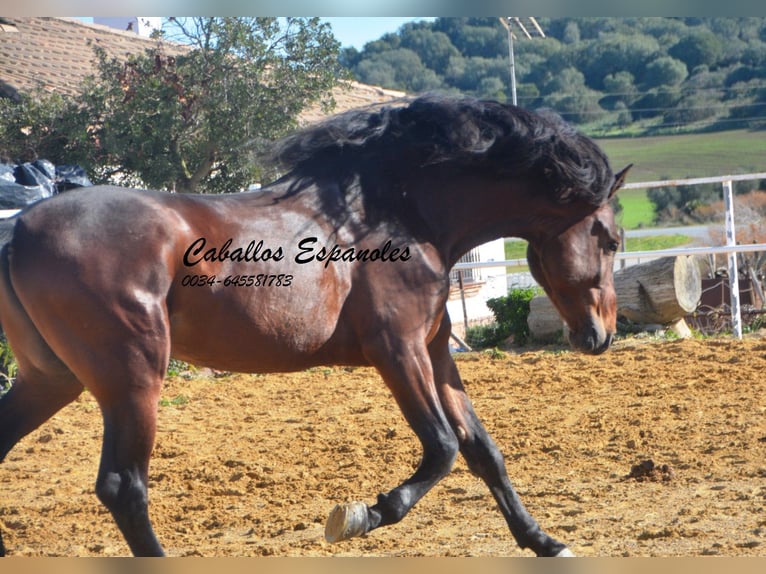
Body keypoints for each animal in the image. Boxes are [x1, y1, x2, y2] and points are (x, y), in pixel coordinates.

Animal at [0, 94, 632, 560]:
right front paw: (359, 516)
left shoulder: (435, 350)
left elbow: (483, 451)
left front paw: (544, 541)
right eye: (610, 239)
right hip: (131, 377)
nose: (600, 336)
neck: (398, 215)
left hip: (52, 378)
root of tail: (19, 230)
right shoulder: (397, 350)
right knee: (124, 486)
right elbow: (443, 448)